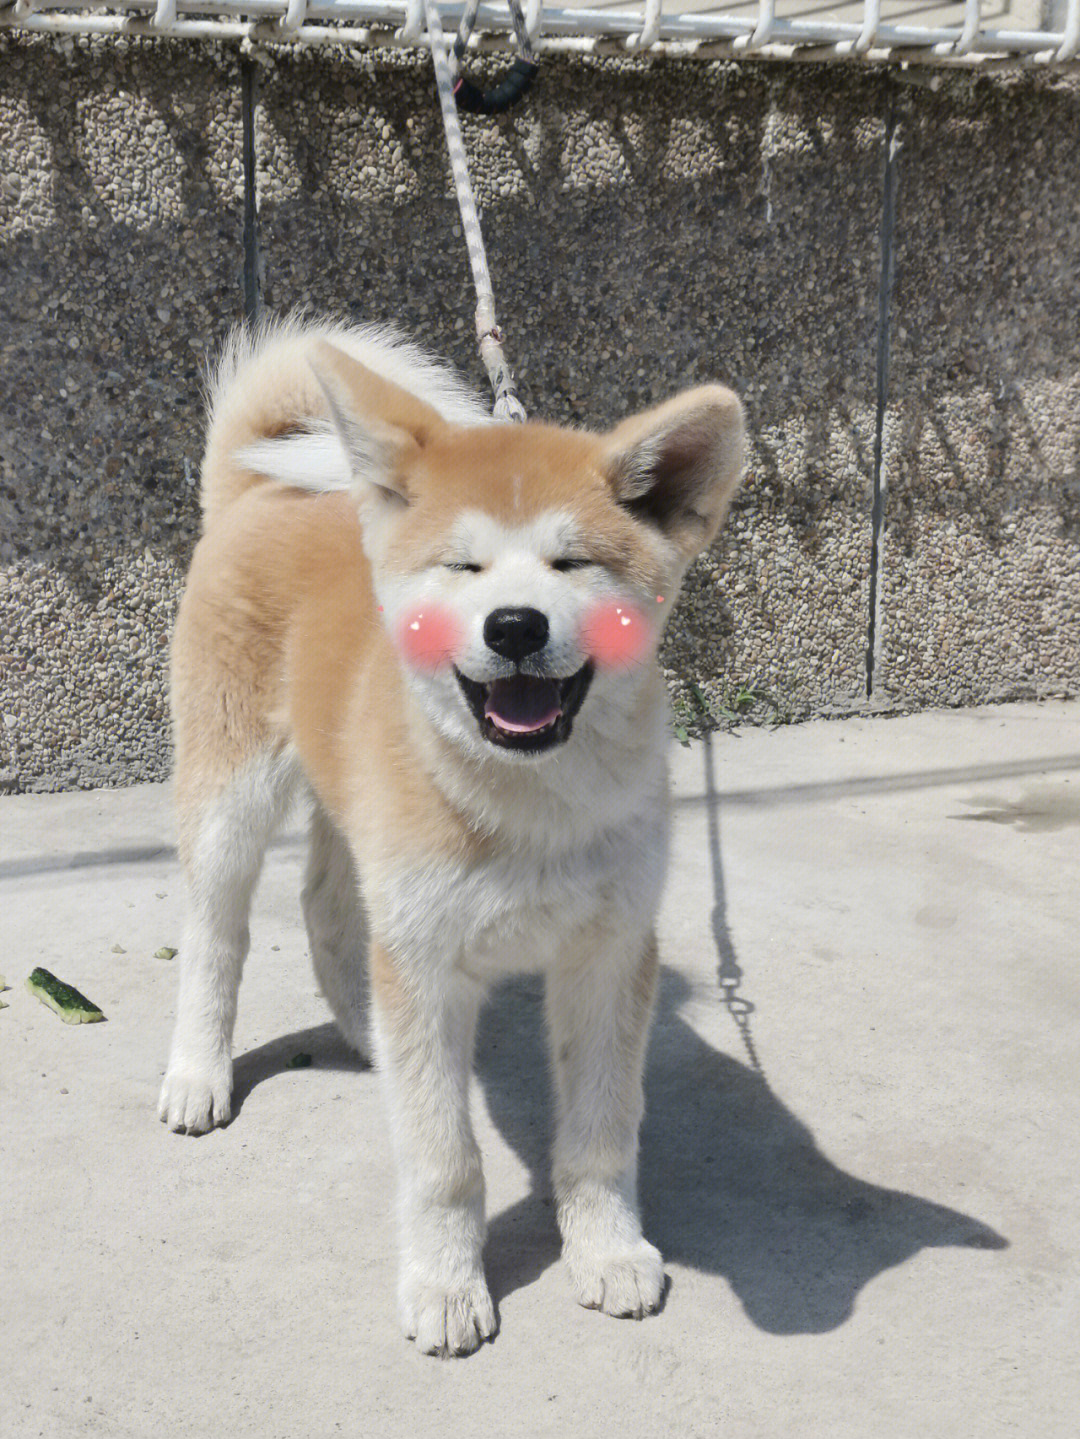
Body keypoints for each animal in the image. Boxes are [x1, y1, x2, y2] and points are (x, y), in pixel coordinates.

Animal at [158, 309, 742, 1352]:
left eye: (572, 563)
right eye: (462, 567)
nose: (514, 625)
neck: (529, 805)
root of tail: (255, 490)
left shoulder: (607, 955)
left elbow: (600, 1132)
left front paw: (605, 1249)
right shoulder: (429, 963)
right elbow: (444, 1160)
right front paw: (445, 1282)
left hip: (356, 817)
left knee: (329, 909)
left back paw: (362, 1030)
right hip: (232, 800)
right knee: (217, 938)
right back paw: (198, 1072)